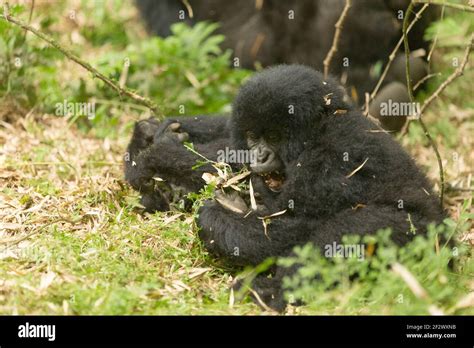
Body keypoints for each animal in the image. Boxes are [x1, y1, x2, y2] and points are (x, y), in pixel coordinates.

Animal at [124, 64, 446, 310]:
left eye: (275, 137)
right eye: (253, 136)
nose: (259, 156)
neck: (321, 127)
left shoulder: (333, 154)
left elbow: (290, 218)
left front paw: (164, 155)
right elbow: (227, 137)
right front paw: (151, 139)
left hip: (425, 239)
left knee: (356, 226)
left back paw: (270, 292)